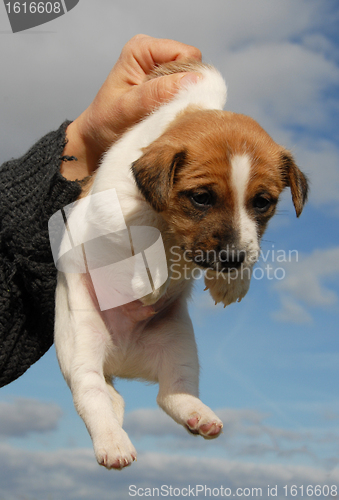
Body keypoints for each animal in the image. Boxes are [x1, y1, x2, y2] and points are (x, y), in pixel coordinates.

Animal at [52, 61, 308, 468]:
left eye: (262, 202)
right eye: (201, 197)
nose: (232, 260)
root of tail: (122, 360)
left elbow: (249, 241)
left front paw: (234, 281)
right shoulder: (111, 209)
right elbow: (140, 232)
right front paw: (151, 273)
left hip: (179, 345)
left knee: (171, 392)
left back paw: (198, 415)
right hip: (81, 341)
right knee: (91, 392)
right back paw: (112, 441)